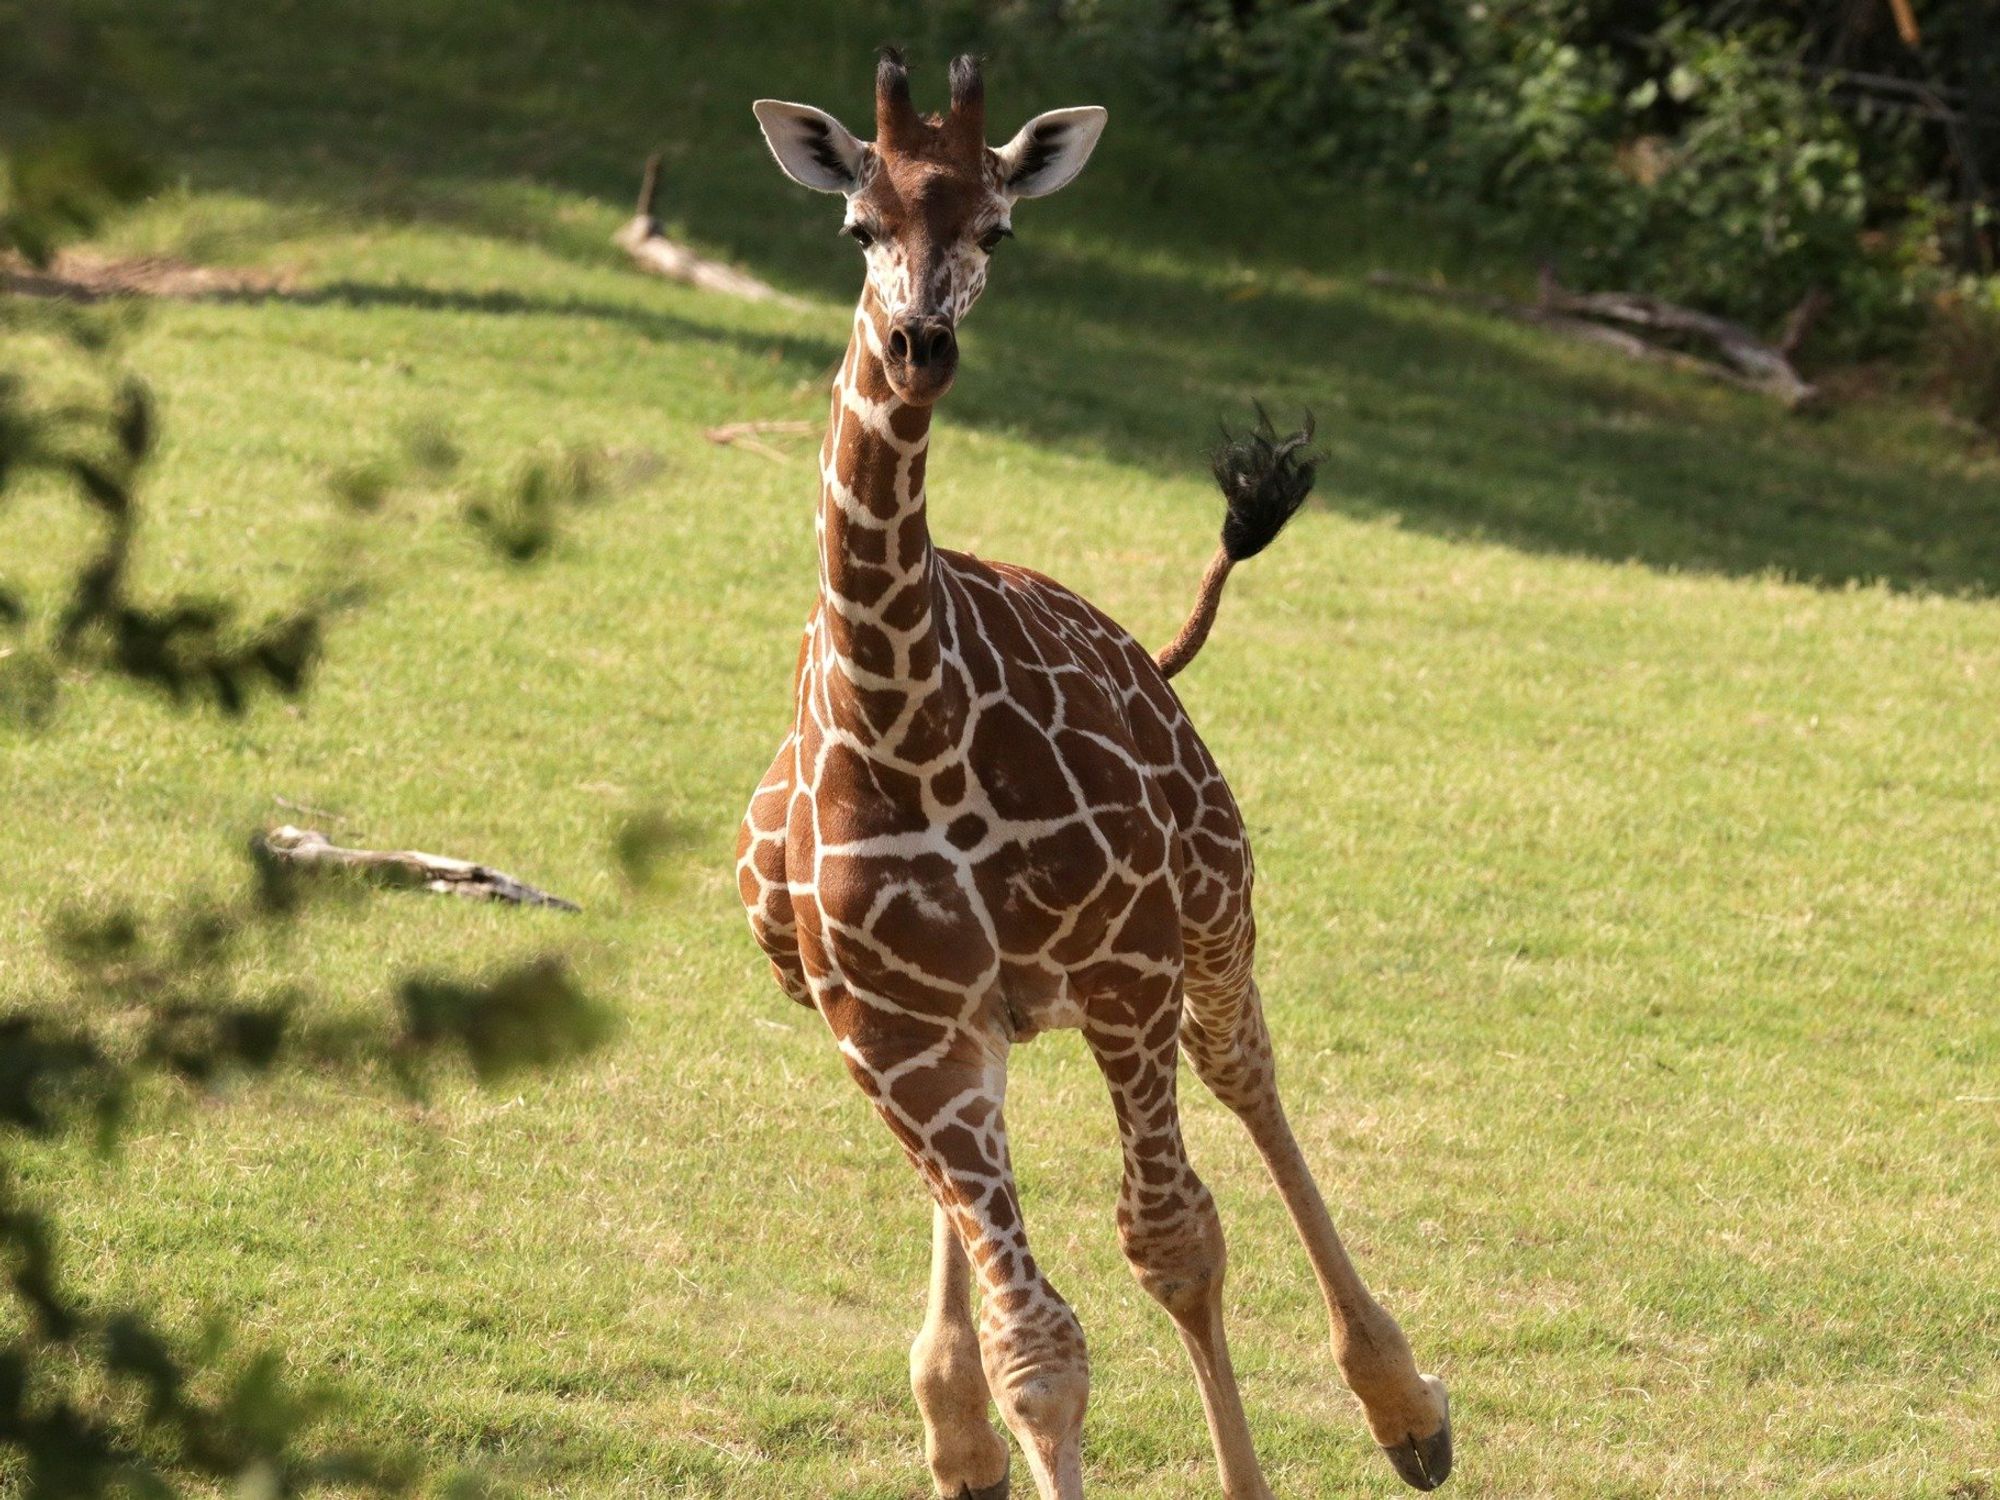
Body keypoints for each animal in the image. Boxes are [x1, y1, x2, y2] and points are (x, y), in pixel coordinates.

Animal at [736, 51, 1453, 1500]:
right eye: (858, 225)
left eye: (998, 226)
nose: (921, 344)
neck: (911, 724)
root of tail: (1151, 662)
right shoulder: (899, 1034)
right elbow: (1043, 1344)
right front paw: (978, 1420)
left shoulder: (1127, 970)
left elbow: (1174, 1243)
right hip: (978, 1029)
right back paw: (955, 1433)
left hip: (1214, 908)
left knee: (1246, 1073)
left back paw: (1406, 1409)